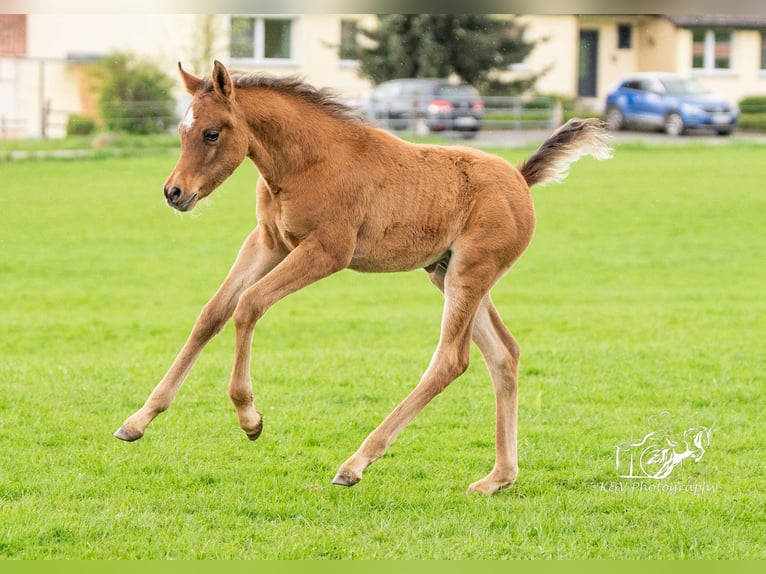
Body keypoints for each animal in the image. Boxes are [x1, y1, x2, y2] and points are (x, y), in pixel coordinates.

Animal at [114, 60, 611, 495]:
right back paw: (497, 479)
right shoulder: (268, 243)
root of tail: (521, 179)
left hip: (469, 272)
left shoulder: (326, 252)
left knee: (452, 360)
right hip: (446, 273)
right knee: (504, 354)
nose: (174, 193)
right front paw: (138, 420)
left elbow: (248, 305)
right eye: (182, 131)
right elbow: (212, 314)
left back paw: (355, 464)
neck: (306, 163)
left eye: (212, 133)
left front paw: (249, 418)